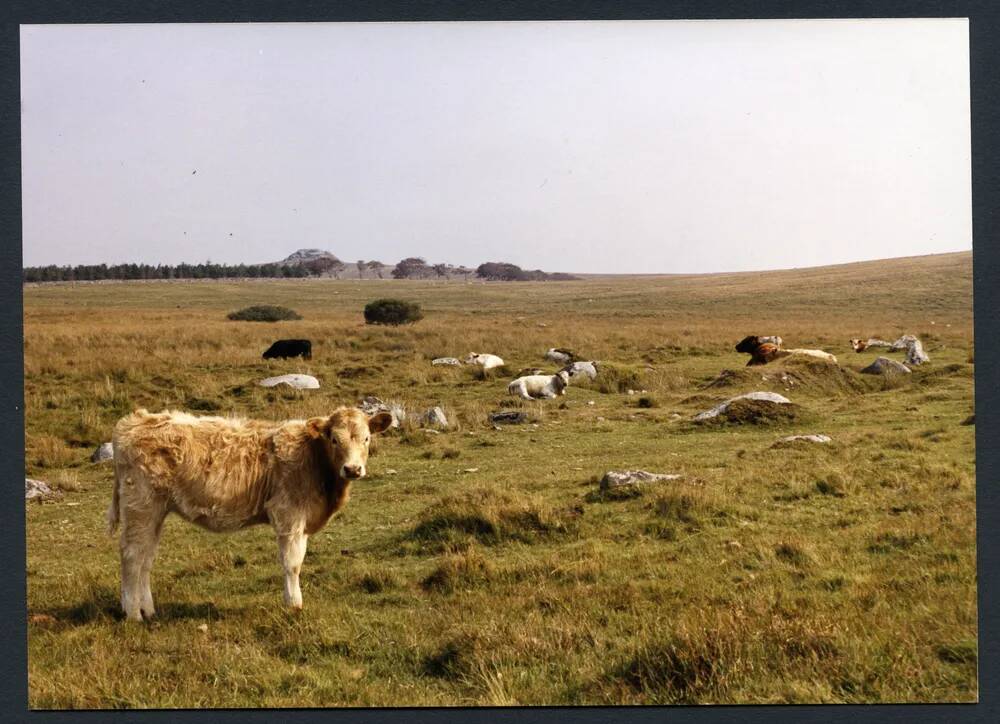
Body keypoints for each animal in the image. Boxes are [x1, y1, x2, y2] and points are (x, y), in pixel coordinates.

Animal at [106, 408, 394, 624]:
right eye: (334, 439)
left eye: (367, 438)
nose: (353, 469)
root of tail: (136, 420)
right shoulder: (288, 514)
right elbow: (292, 563)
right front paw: (294, 605)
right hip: (141, 506)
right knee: (132, 555)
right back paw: (133, 614)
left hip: (156, 512)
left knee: (146, 558)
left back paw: (148, 610)